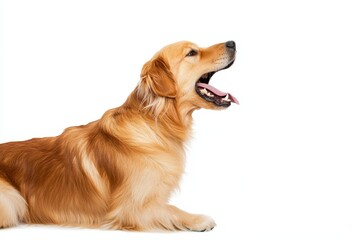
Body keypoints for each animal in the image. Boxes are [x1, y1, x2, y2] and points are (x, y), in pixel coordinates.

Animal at [0, 40, 239, 232]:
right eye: (192, 52)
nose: (232, 42)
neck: (157, 124)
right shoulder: (130, 208)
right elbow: (171, 208)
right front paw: (198, 219)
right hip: (13, 201)